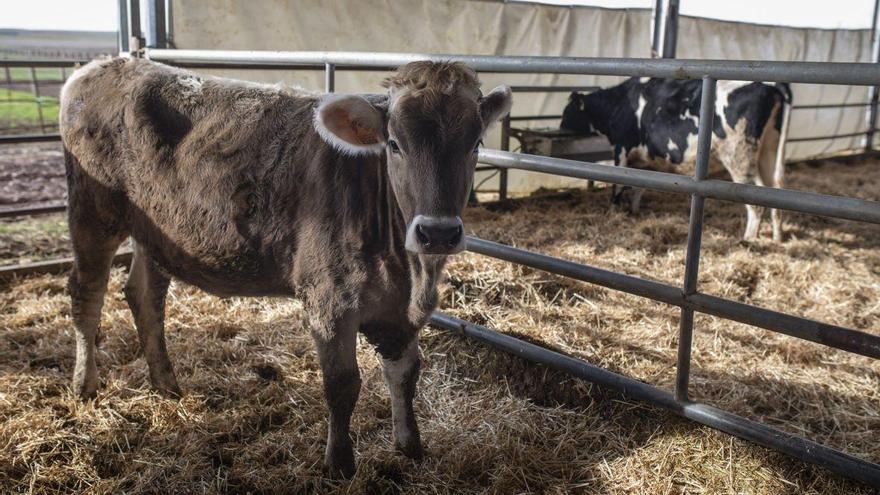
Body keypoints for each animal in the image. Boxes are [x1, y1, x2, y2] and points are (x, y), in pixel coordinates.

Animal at [560, 78, 796, 241]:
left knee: (756, 202)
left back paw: (748, 239)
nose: (561, 127)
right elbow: (638, 187)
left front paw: (613, 212)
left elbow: (617, 186)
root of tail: (772, 84)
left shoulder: (621, 148)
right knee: (774, 191)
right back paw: (777, 236)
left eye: (567, 112)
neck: (619, 104)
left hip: (739, 157)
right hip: (768, 151)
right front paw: (634, 211)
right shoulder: (647, 159)